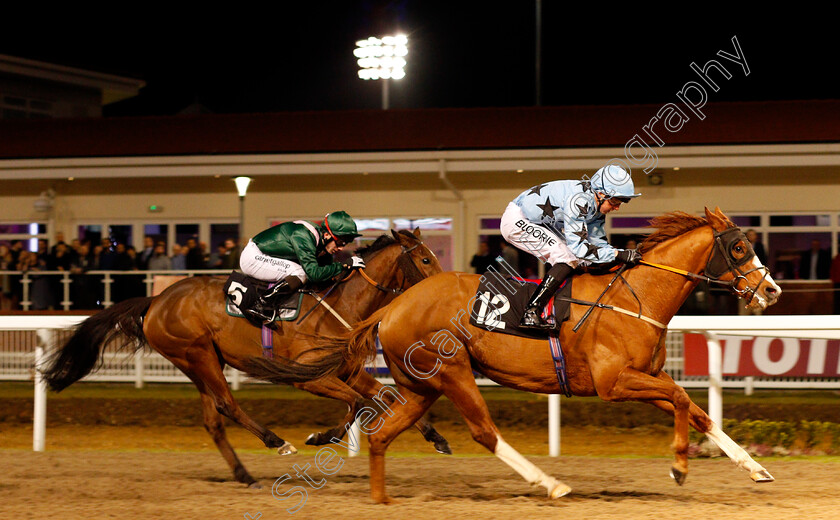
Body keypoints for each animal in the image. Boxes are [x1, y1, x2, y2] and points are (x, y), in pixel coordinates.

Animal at [42, 229, 450, 488]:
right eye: (425, 259)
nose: (445, 287)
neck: (341, 304)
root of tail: (156, 300)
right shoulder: (308, 376)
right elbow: (358, 404)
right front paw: (321, 436)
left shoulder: (346, 371)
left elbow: (385, 396)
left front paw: (437, 438)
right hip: (198, 354)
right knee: (227, 405)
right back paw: (276, 441)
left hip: (199, 363)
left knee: (213, 419)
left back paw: (245, 475)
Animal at [280, 207, 780, 504]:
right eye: (739, 247)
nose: (771, 290)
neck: (636, 296)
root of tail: (393, 306)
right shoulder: (614, 382)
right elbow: (679, 400)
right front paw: (678, 466)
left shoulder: (643, 377)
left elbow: (696, 410)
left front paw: (756, 469)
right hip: (454, 373)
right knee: (484, 432)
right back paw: (550, 483)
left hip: (421, 385)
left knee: (382, 433)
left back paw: (381, 499)